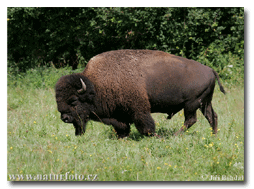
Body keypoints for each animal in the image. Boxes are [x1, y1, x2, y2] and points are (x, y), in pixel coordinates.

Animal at [54, 49, 225, 139]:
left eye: (73, 101)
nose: (65, 118)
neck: (96, 86)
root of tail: (210, 70)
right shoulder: (119, 115)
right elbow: (122, 126)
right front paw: (122, 136)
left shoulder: (139, 109)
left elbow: (145, 125)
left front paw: (153, 136)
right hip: (204, 103)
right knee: (212, 116)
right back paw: (214, 135)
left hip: (191, 104)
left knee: (191, 120)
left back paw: (175, 135)